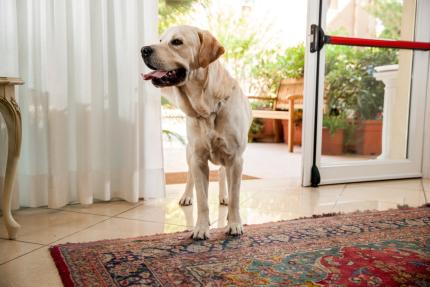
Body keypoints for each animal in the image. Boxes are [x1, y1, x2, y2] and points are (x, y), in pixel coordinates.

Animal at [141, 25, 252, 241]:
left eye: (177, 42)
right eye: (160, 40)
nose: (144, 50)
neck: (207, 108)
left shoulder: (236, 158)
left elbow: (235, 196)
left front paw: (234, 223)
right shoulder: (198, 158)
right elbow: (202, 199)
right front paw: (201, 227)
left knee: (223, 174)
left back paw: (224, 197)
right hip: (189, 153)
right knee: (190, 177)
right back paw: (187, 196)